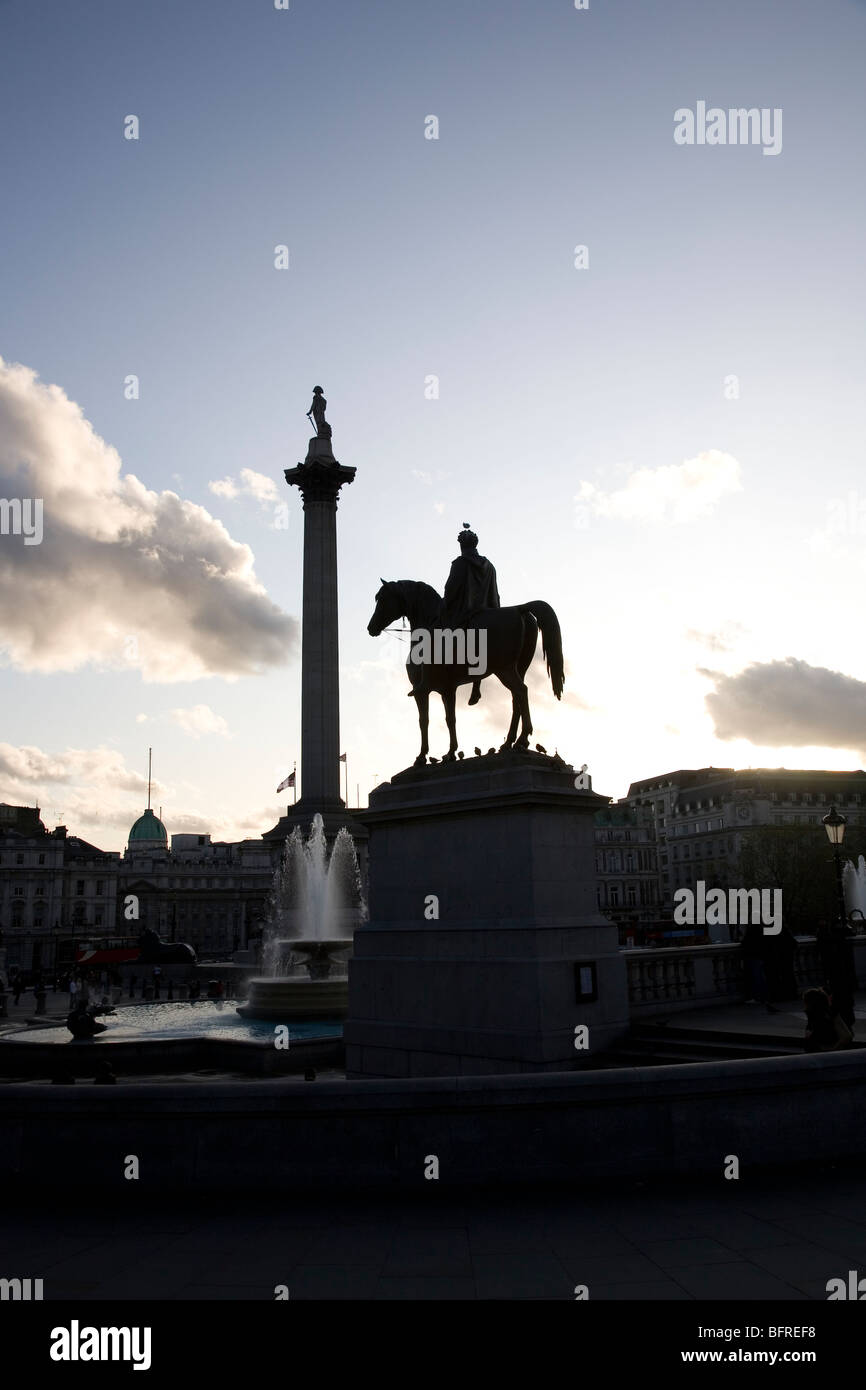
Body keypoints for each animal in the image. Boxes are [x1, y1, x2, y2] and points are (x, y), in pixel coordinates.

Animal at [369, 581, 567, 767]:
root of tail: (519, 609)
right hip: (519, 669)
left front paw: (422, 756)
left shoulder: (421, 691)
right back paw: (510, 742)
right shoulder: (448, 689)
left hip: (504, 669)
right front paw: (450, 753)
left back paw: (522, 739)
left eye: (382, 599)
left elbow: (424, 721)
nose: (371, 627)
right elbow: (450, 719)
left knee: (521, 691)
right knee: (516, 699)